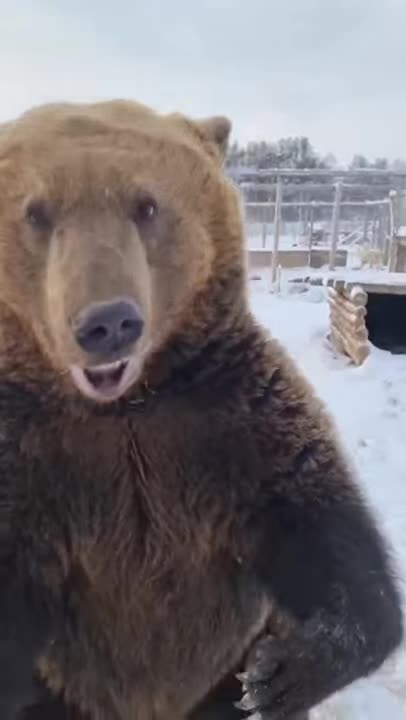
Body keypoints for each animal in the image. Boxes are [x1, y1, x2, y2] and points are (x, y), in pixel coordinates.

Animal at [0, 99, 402, 720]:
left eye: (146, 204)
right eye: (36, 212)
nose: (107, 322)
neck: (124, 407)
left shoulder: (230, 419)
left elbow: (330, 535)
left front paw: (281, 673)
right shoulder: (32, 461)